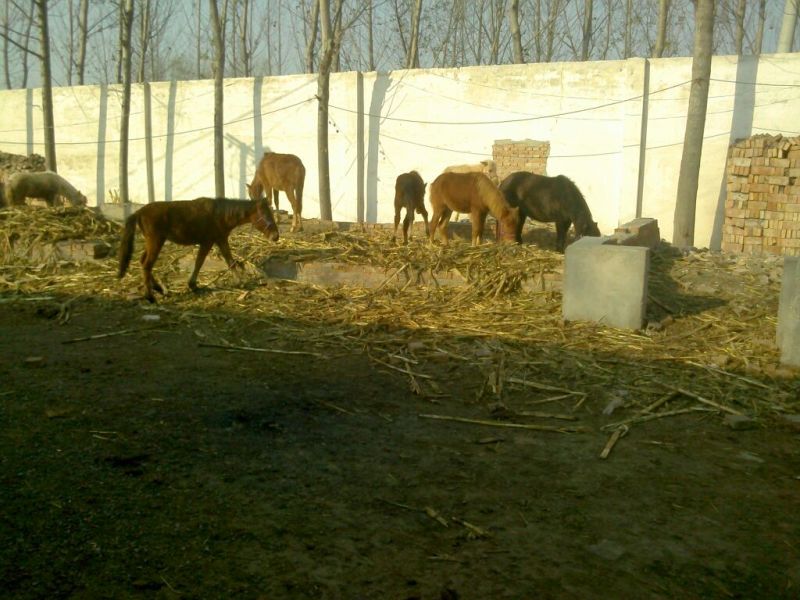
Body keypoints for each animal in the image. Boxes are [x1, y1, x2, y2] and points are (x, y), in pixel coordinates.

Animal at [118, 197, 279, 303]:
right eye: (266, 215)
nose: (276, 236)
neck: (220, 214)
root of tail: (139, 212)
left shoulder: (220, 239)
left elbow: (229, 260)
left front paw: (239, 281)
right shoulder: (207, 242)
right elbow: (199, 262)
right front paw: (192, 285)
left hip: (152, 242)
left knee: (143, 261)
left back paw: (158, 288)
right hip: (156, 241)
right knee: (147, 264)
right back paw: (150, 296)